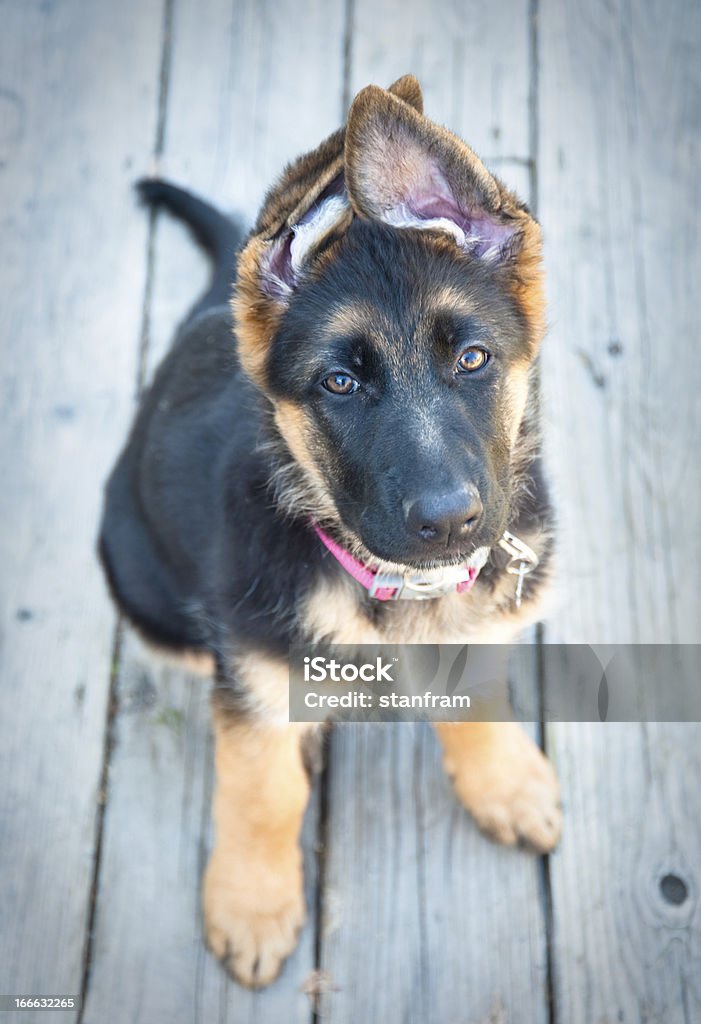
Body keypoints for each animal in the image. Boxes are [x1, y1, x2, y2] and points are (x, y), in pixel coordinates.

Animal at [98, 75, 560, 987]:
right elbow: (260, 788)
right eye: (339, 383)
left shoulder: (486, 619)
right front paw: (251, 903)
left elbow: (480, 695)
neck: (393, 588)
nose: (448, 521)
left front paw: (504, 782)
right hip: (146, 596)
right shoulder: (250, 659)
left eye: (474, 360)